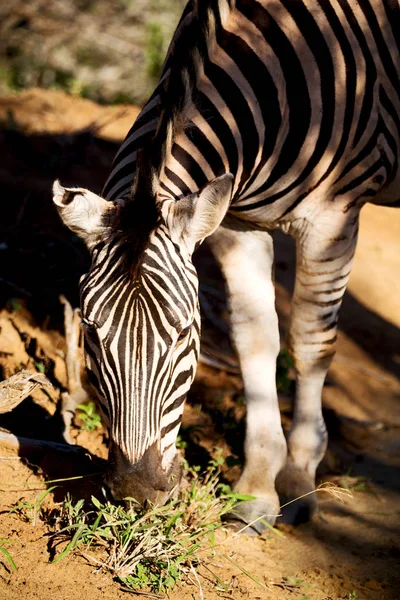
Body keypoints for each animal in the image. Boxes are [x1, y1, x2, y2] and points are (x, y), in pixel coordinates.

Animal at [53, 1, 400, 536]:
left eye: (182, 334)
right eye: (89, 331)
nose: (135, 493)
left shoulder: (334, 218)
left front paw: (298, 480)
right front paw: (256, 490)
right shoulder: (236, 221)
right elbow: (254, 339)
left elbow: (310, 343)